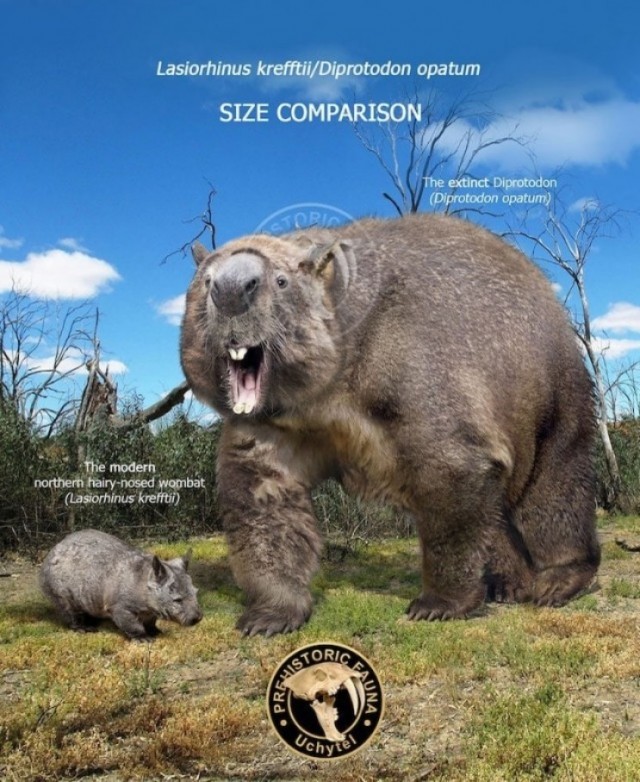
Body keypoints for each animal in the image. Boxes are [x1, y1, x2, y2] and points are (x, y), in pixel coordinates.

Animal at [180, 212, 600, 636]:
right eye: (205, 280)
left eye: (280, 281)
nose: (231, 289)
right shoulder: (276, 419)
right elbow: (262, 493)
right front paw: (269, 616)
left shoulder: (411, 360)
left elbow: (452, 468)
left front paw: (436, 604)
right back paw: (508, 584)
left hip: (551, 386)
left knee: (554, 483)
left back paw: (558, 581)